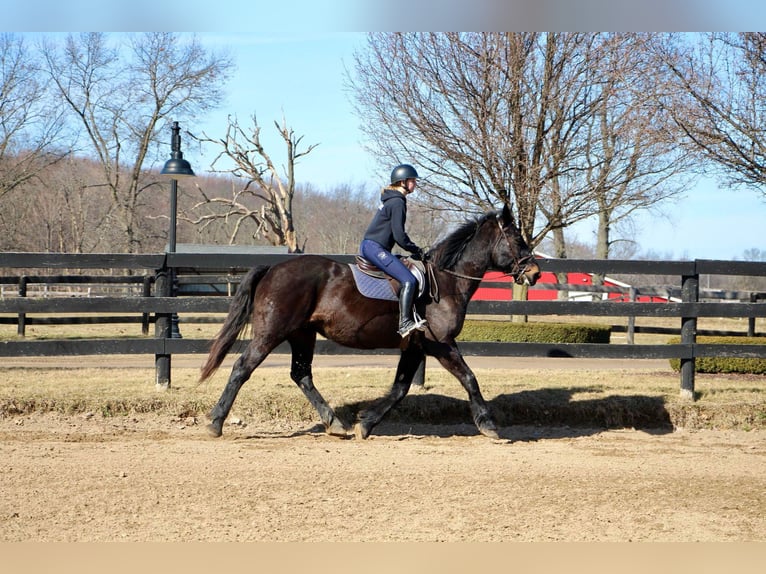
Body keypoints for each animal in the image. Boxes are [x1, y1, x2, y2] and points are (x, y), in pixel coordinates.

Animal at [201, 205, 544, 444]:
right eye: (517, 239)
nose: (536, 273)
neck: (446, 281)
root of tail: (273, 268)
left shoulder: (416, 346)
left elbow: (400, 388)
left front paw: (365, 423)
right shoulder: (440, 343)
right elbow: (469, 379)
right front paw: (489, 426)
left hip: (303, 334)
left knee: (301, 375)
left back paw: (335, 423)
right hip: (272, 332)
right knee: (242, 368)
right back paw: (215, 422)